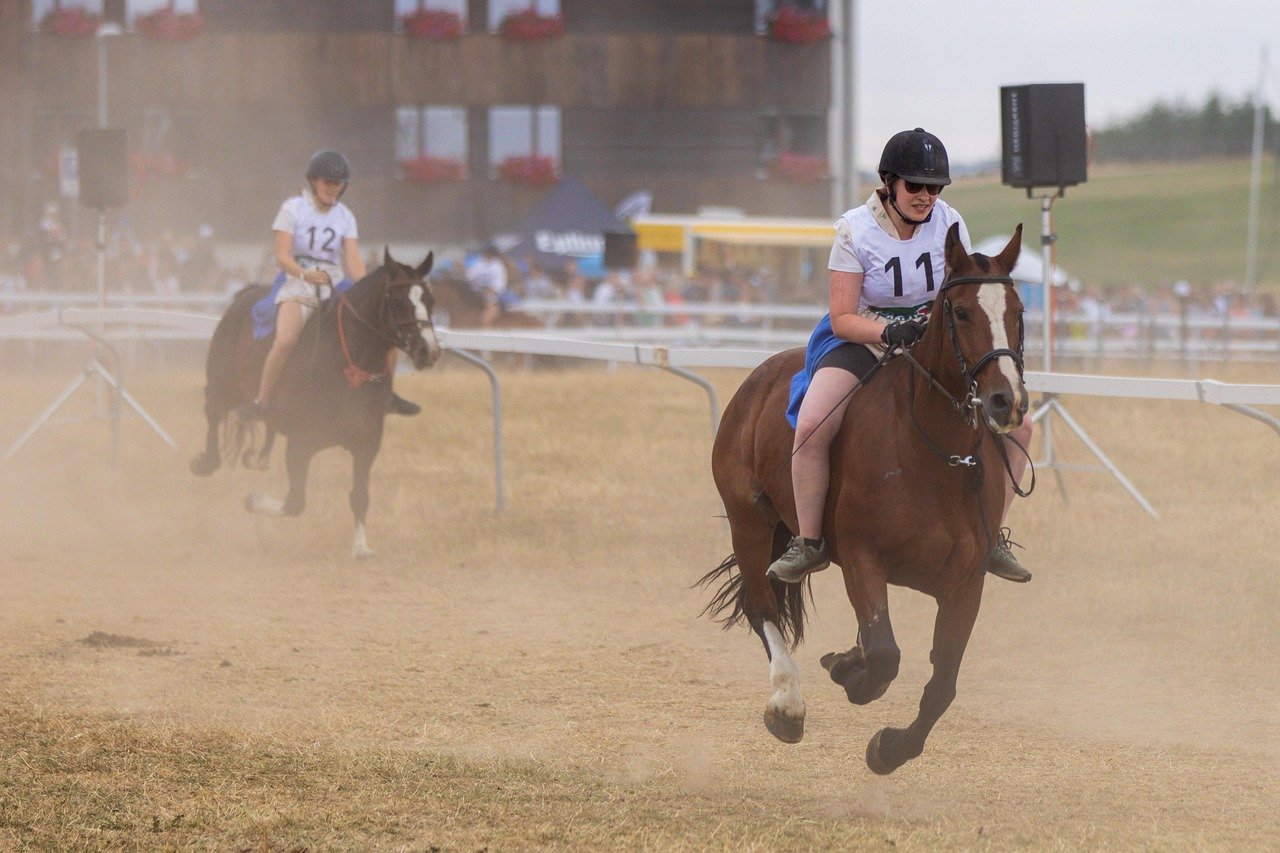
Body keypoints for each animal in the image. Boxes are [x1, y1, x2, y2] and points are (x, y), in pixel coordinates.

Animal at [189, 249, 442, 558]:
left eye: (430, 300)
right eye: (397, 301)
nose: (428, 351)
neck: (346, 363)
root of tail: (245, 295)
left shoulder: (367, 443)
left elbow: (360, 496)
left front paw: (361, 547)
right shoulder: (301, 442)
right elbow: (295, 502)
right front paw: (254, 500)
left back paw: (257, 458)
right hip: (222, 384)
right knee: (213, 411)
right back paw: (206, 463)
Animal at [701, 223, 1029, 774]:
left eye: (1018, 311)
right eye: (962, 312)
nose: (1006, 402)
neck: (934, 453)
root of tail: (761, 376)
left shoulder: (965, 584)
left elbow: (941, 686)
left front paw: (889, 747)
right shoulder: (862, 558)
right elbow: (883, 656)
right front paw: (852, 678)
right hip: (750, 522)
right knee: (761, 605)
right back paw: (786, 703)